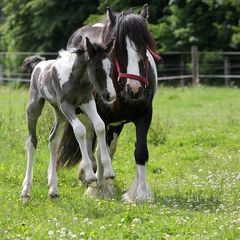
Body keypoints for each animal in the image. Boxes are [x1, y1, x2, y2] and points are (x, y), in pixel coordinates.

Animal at [20, 36, 116, 201]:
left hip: (60, 113)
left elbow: (99, 125)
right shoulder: (67, 105)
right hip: (35, 108)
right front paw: (90, 176)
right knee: (31, 141)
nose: (111, 96)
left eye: (111, 69)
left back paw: (53, 189)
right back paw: (26, 190)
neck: (76, 80)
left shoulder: (87, 101)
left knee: (53, 140)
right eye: (96, 69)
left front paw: (109, 172)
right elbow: (80, 130)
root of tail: (38, 64)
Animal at [57, 4, 160, 202]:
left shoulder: (144, 115)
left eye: (145, 48)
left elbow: (140, 151)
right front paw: (97, 189)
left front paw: (140, 193)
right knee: (89, 141)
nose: (134, 88)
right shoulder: (101, 119)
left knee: (108, 146)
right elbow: (99, 151)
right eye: (117, 49)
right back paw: (89, 176)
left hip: (116, 124)